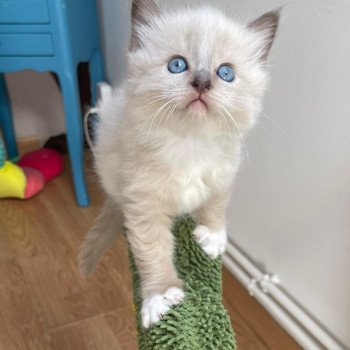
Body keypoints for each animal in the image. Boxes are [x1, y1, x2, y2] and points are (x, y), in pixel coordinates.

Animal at [78, 0, 278, 328]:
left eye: (225, 73)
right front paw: (160, 297)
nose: (202, 82)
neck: (190, 143)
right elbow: (153, 252)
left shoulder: (223, 175)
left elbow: (216, 204)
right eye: (177, 65)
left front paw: (211, 238)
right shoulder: (143, 204)